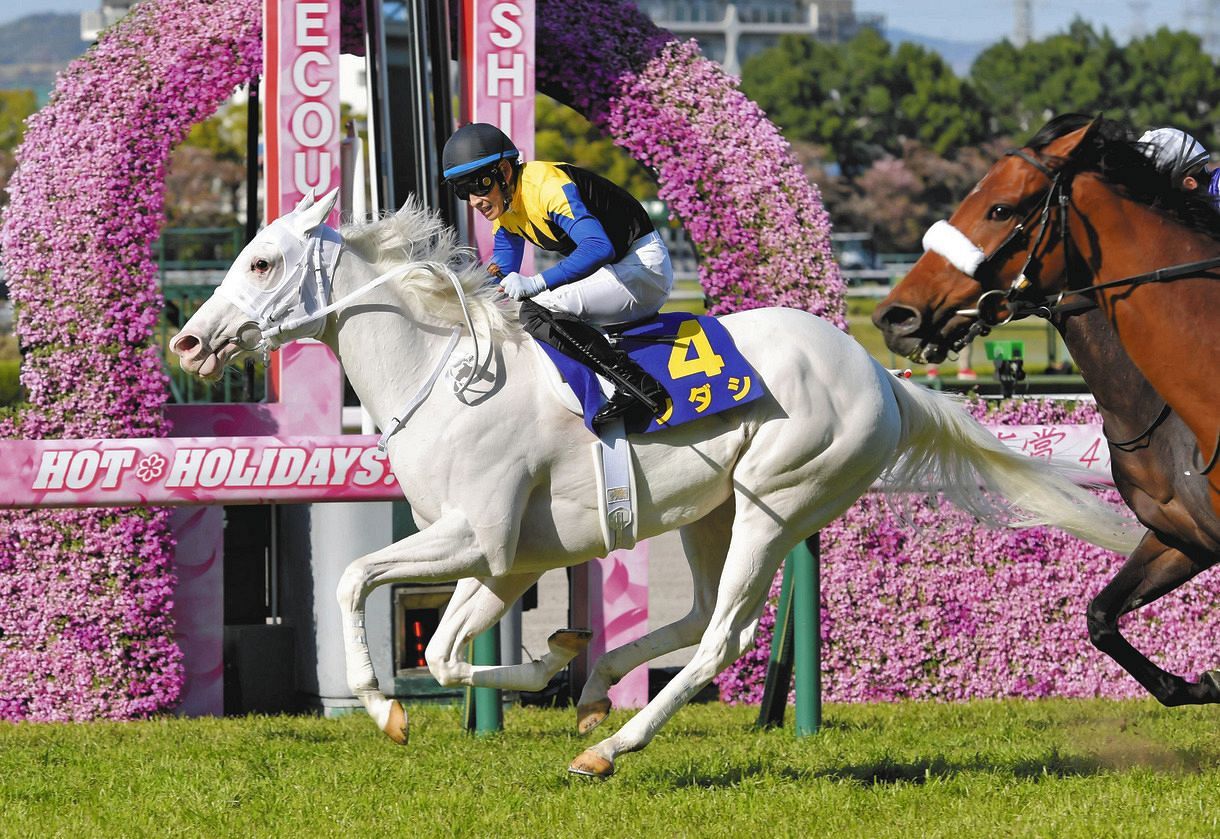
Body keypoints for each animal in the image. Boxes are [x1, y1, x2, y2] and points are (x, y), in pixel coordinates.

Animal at [169, 191, 1132, 780]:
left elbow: (351, 579)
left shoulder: (477, 537)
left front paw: (383, 708)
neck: (448, 375)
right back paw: (599, 686)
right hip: (712, 510)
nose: (187, 341)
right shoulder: (504, 560)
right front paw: (551, 663)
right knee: (700, 614)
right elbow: (441, 651)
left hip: (778, 501)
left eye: (261, 262)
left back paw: (612, 744)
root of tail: (880, 376)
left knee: (721, 639)